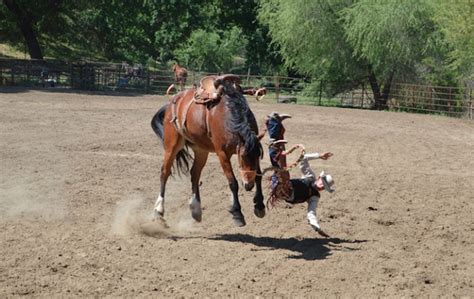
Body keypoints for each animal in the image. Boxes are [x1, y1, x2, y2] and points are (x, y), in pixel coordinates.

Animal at [152, 74, 266, 226]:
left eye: (259, 155)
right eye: (242, 156)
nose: (248, 185)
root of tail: (170, 104)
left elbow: (259, 176)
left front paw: (259, 206)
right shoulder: (222, 153)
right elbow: (233, 182)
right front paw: (237, 213)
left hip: (201, 150)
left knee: (194, 173)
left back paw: (195, 208)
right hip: (172, 145)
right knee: (164, 172)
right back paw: (159, 209)